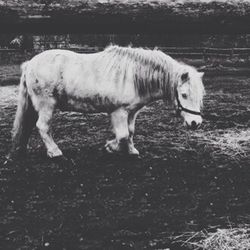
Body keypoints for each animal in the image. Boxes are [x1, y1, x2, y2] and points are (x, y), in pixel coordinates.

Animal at [9, 46, 205, 159]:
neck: (133, 76)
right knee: (43, 126)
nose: (195, 123)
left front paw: (130, 150)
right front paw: (112, 147)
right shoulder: (119, 112)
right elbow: (123, 135)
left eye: (200, 96)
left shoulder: (132, 112)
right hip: (46, 105)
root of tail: (30, 64)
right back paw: (54, 151)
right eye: (184, 95)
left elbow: (130, 132)